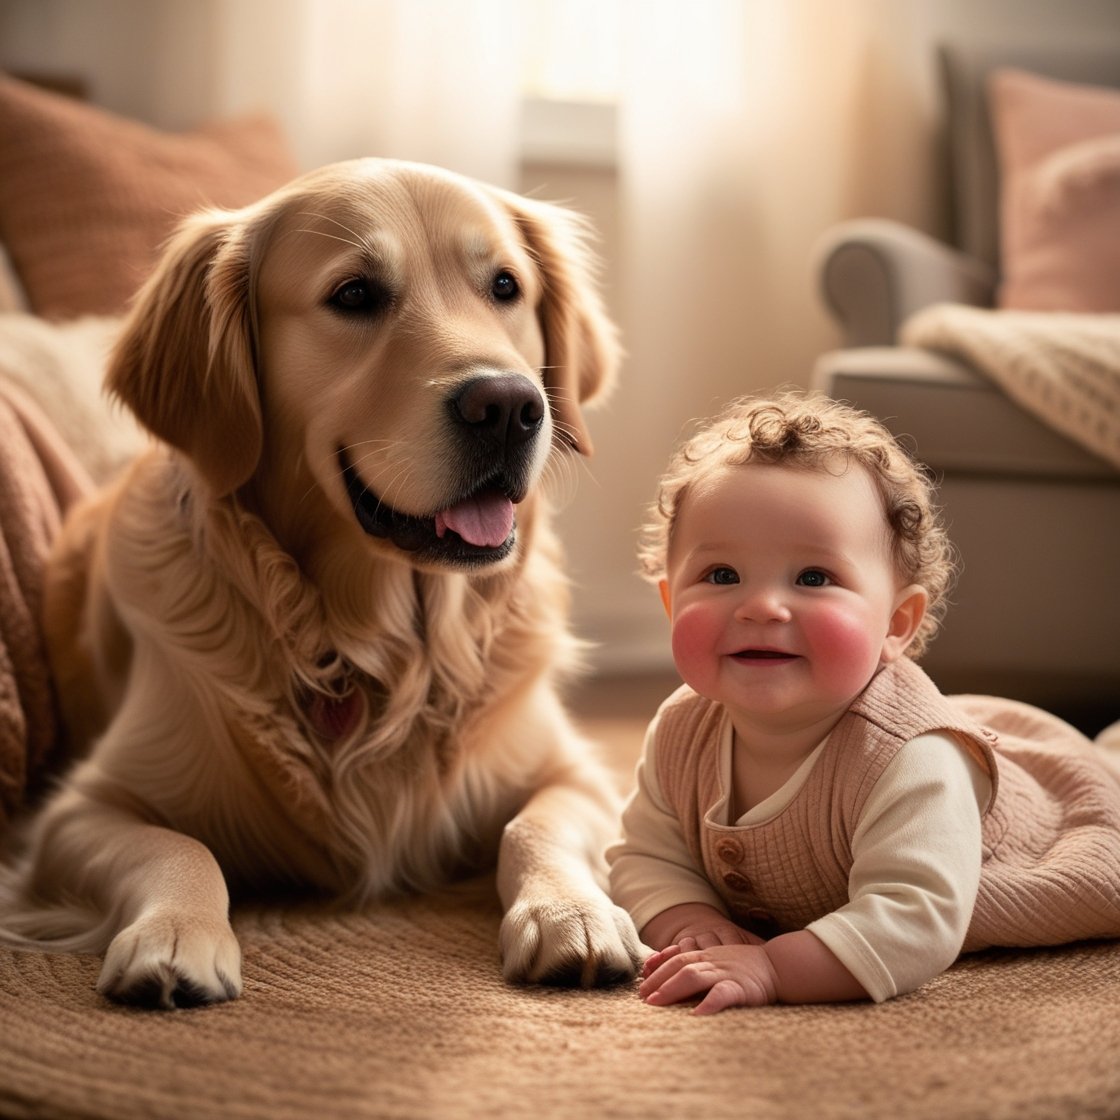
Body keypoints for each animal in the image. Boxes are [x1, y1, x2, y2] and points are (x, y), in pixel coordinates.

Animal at [0, 155, 645, 1008]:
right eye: (355, 295)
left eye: (506, 287)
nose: (509, 406)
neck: (376, 649)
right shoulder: (74, 814)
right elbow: (178, 848)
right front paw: (174, 935)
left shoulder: (577, 773)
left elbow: (532, 825)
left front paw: (573, 913)